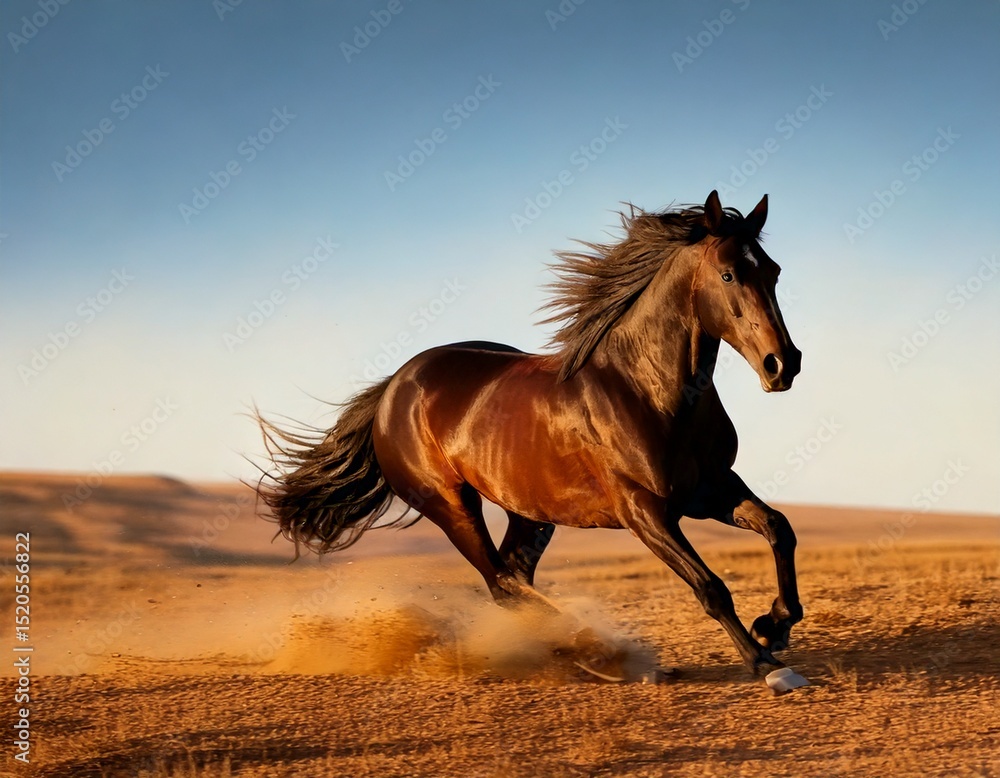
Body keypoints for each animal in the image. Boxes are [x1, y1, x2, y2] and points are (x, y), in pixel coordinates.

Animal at [256, 190, 804, 680]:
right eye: (728, 274)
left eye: (774, 271)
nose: (783, 365)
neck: (649, 391)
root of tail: (395, 387)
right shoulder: (643, 509)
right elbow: (710, 586)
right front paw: (763, 662)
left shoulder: (710, 488)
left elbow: (779, 528)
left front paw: (773, 626)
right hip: (451, 505)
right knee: (501, 582)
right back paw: (596, 651)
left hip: (530, 512)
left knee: (513, 577)